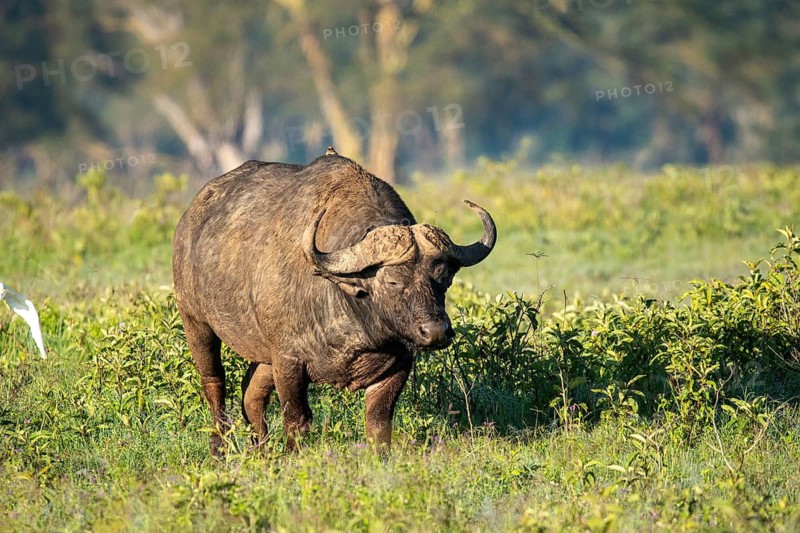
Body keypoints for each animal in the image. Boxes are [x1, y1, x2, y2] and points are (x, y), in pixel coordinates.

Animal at [172, 151, 495, 454]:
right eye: (391, 281)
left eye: (443, 277)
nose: (436, 331)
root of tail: (189, 220)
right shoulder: (288, 360)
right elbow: (297, 419)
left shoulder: (400, 363)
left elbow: (378, 421)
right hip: (196, 323)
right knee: (215, 383)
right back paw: (220, 449)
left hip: (263, 353)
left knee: (250, 393)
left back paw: (261, 450)